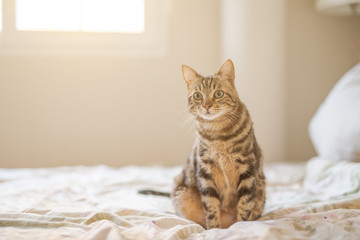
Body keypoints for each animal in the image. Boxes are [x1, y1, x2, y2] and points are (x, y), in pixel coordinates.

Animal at [172, 59, 264, 229]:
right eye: (197, 96)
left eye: (218, 93)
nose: (207, 105)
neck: (218, 135)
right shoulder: (205, 172)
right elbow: (211, 207)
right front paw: (214, 229)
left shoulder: (248, 170)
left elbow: (245, 205)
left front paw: (241, 226)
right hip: (181, 194)